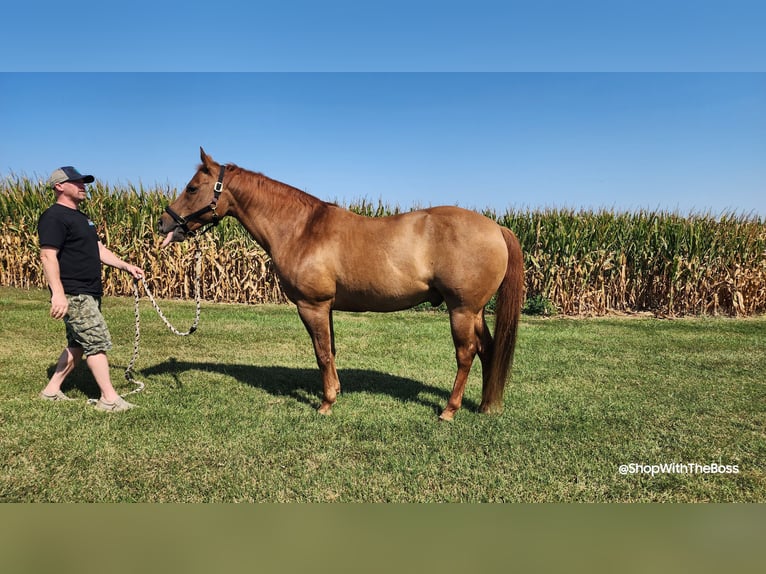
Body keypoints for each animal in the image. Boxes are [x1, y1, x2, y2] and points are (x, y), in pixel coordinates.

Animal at [159, 146, 524, 420]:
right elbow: (331, 350)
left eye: (192, 188)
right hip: (475, 311)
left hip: (462, 310)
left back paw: (449, 410)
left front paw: (326, 404)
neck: (301, 228)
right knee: (487, 350)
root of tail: (496, 227)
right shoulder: (327, 308)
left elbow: (322, 353)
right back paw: (485, 405)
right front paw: (335, 392)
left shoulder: (313, 306)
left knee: (467, 354)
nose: (164, 223)